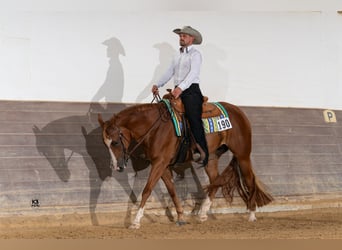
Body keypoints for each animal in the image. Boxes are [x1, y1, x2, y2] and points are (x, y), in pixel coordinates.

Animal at [98, 94, 272, 229]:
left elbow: (147, 190)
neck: (155, 127)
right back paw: (202, 214)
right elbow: (172, 190)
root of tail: (239, 111)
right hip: (212, 157)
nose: (116, 166)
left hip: (243, 155)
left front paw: (135, 222)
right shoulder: (163, 166)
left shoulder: (159, 163)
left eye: (115, 142)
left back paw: (251, 214)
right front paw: (181, 217)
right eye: (104, 144)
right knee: (215, 180)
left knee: (249, 180)